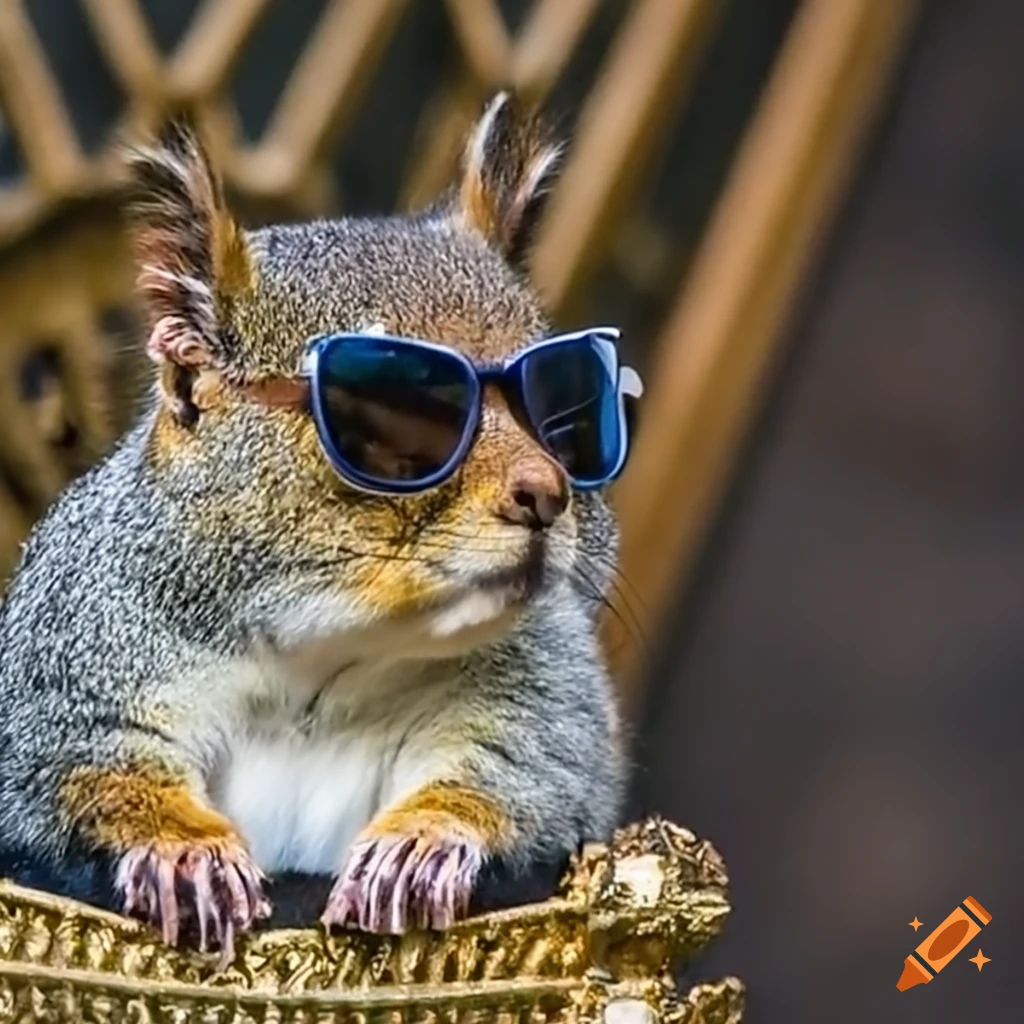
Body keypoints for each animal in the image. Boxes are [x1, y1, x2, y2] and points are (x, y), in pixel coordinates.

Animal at [0, 93, 626, 956]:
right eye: (390, 410)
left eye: (569, 410)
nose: (547, 492)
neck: (318, 668)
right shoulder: (65, 668)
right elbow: (74, 769)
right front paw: (182, 851)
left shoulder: (549, 692)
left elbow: (531, 769)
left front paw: (423, 843)